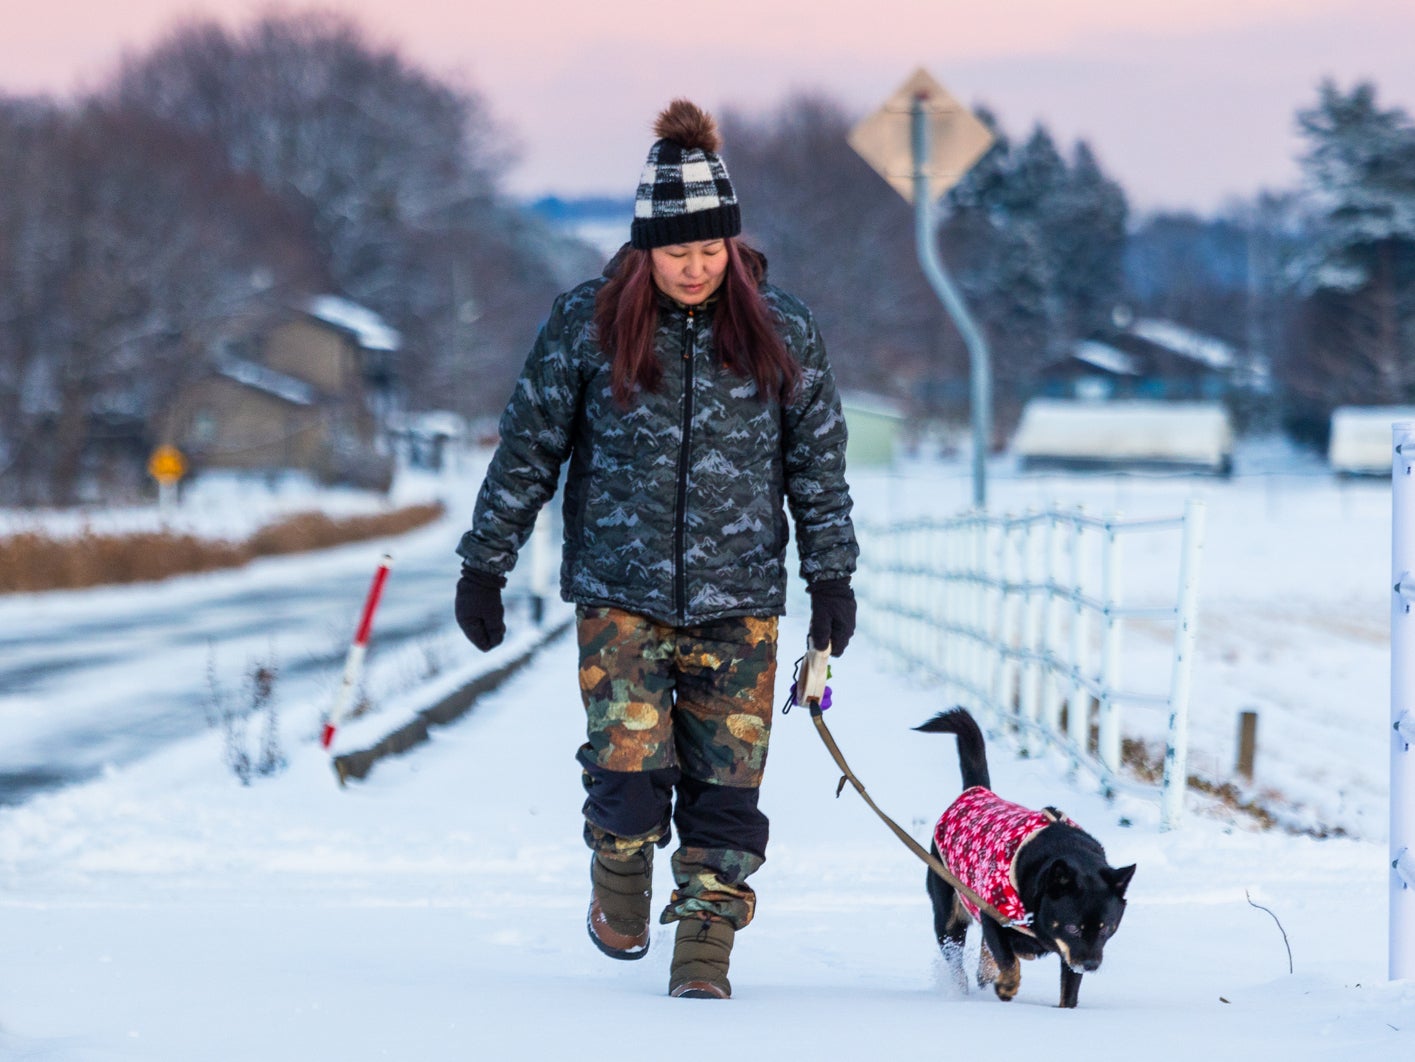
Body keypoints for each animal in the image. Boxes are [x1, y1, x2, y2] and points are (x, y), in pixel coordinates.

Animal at [916, 709, 1137, 1006]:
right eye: (1073, 928)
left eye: (1106, 929)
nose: (1090, 965)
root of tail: (978, 791)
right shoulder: (993, 915)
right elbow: (1008, 959)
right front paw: (1007, 986)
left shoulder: (1070, 954)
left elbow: (1069, 987)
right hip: (948, 914)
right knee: (957, 957)